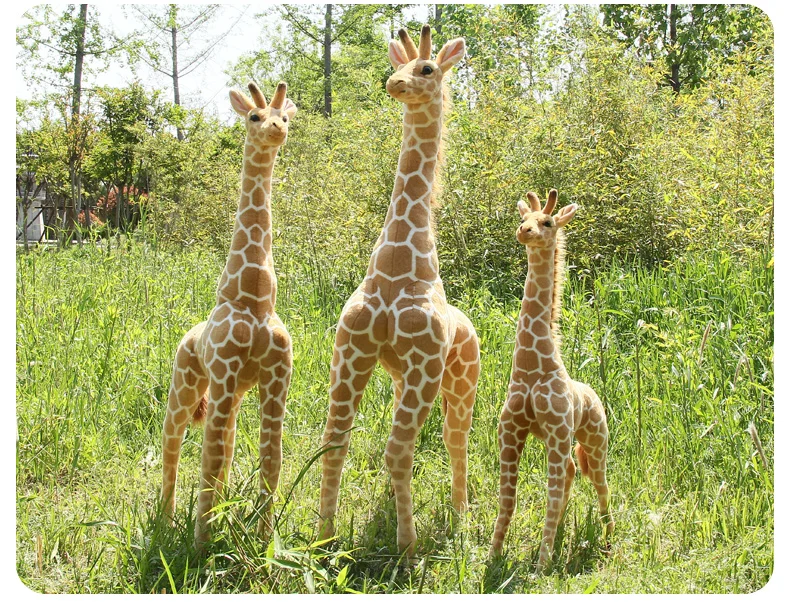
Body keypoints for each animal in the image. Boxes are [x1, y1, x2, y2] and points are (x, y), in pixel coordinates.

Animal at [160, 81, 297, 548]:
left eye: (285, 116)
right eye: (254, 116)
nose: (276, 130)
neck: (253, 300)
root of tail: (187, 335)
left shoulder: (276, 377)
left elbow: (271, 459)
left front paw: (264, 542)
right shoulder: (222, 372)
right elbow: (208, 458)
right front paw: (201, 545)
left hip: (233, 393)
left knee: (226, 449)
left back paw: (218, 514)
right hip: (188, 384)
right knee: (174, 443)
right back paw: (164, 520)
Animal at [316, 25, 479, 556]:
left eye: (426, 68)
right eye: (400, 64)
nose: (394, 83)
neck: (395, 267)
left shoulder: (423, 361)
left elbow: (397, 449)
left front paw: (407, 546)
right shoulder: (352, 351)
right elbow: (336, 442)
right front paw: (324, 535)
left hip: (459, 378)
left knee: (452, 437)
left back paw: (455, 515)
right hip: (403, 378)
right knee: (392, 444)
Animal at [489, 190, 613, 572]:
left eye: (546, 222)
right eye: (523, 217)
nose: (524, 232)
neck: (532, 368)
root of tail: (593, 393)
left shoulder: (558, 430)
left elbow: (551, 496)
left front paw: (541, 566)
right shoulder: (510, 430)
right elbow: (507, 498)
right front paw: (493, 555)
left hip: (594, 439)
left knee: (601, 485)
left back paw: (608, 542)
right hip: (558, 441)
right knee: (572, 474)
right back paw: (559, 540)